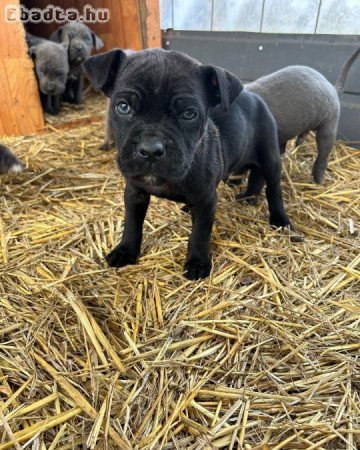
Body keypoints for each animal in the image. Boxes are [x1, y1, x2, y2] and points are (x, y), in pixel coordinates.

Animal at [83, 50, 292, 282]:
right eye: (123, 107)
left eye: (189, 114)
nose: (150, 149)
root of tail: (254, 95)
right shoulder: (135, 192)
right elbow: (132, 224)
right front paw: (125, 251)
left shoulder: (206, 200)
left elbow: (199, 233)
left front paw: (197, 262)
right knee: (256, 176)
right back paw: (247, 197)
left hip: (270, 158)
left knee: (273, 188)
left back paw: (280, 219)